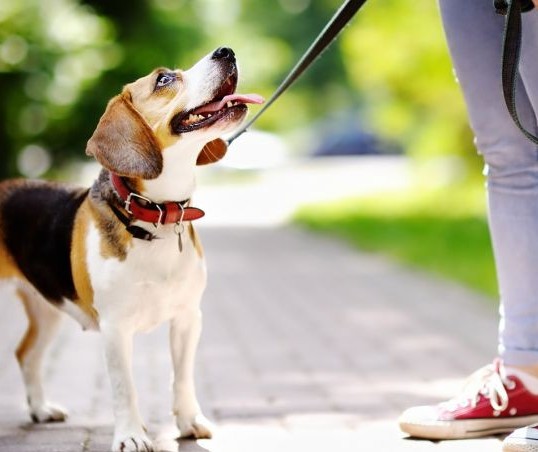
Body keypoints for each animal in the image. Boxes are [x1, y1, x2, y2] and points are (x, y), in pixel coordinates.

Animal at [0, 47, 262, 450]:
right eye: (164, 79)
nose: (226, 51)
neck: (157, 216)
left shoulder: (188, 317)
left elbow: (182, 378)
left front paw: (189, 421)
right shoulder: (115, 328)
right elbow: (125, 388)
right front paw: (131, 436)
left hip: (47, 307)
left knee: (26, 354)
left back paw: (41, 409)